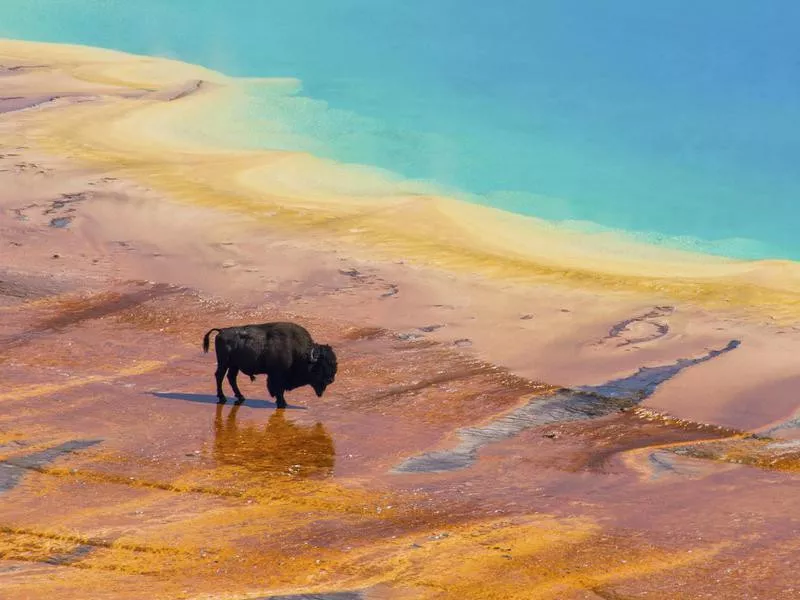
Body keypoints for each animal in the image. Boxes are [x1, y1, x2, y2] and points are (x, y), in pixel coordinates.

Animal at [203, 324, 338, 408]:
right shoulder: (276, 376)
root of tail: (221, 331)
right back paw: (222, 398)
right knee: (219, 376)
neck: (299, 353)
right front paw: (282, 404)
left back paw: (241, 397)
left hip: (234, 366)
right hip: (224, 363)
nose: (331, 380)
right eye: (321, 365)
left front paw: (283, 403)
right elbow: (278, 390)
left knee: (231, 378)